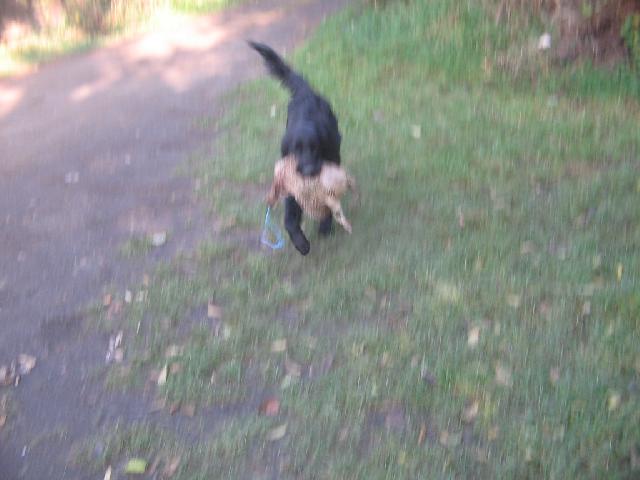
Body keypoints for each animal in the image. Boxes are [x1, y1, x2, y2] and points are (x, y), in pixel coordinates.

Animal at [249, 41, 342, 255]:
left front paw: (325, 226)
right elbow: (290, 219)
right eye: (296, 150)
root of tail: (305, 92)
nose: (307, 171)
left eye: (315, 148)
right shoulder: (291, 181)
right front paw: (301, 243)